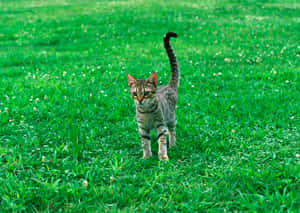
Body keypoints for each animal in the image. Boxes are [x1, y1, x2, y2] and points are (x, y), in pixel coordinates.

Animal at [126, 32, 179, 161]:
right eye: (135, 94)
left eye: (146, 93)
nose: (140, 100)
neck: (146, 112)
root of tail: (169, 85)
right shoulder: (142, 128)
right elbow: (145, 143)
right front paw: (146, 156)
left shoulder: (160, 124)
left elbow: (162, 141)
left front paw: (163, 157)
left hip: (170, 117)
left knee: (172, 131)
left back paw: (173, 144)